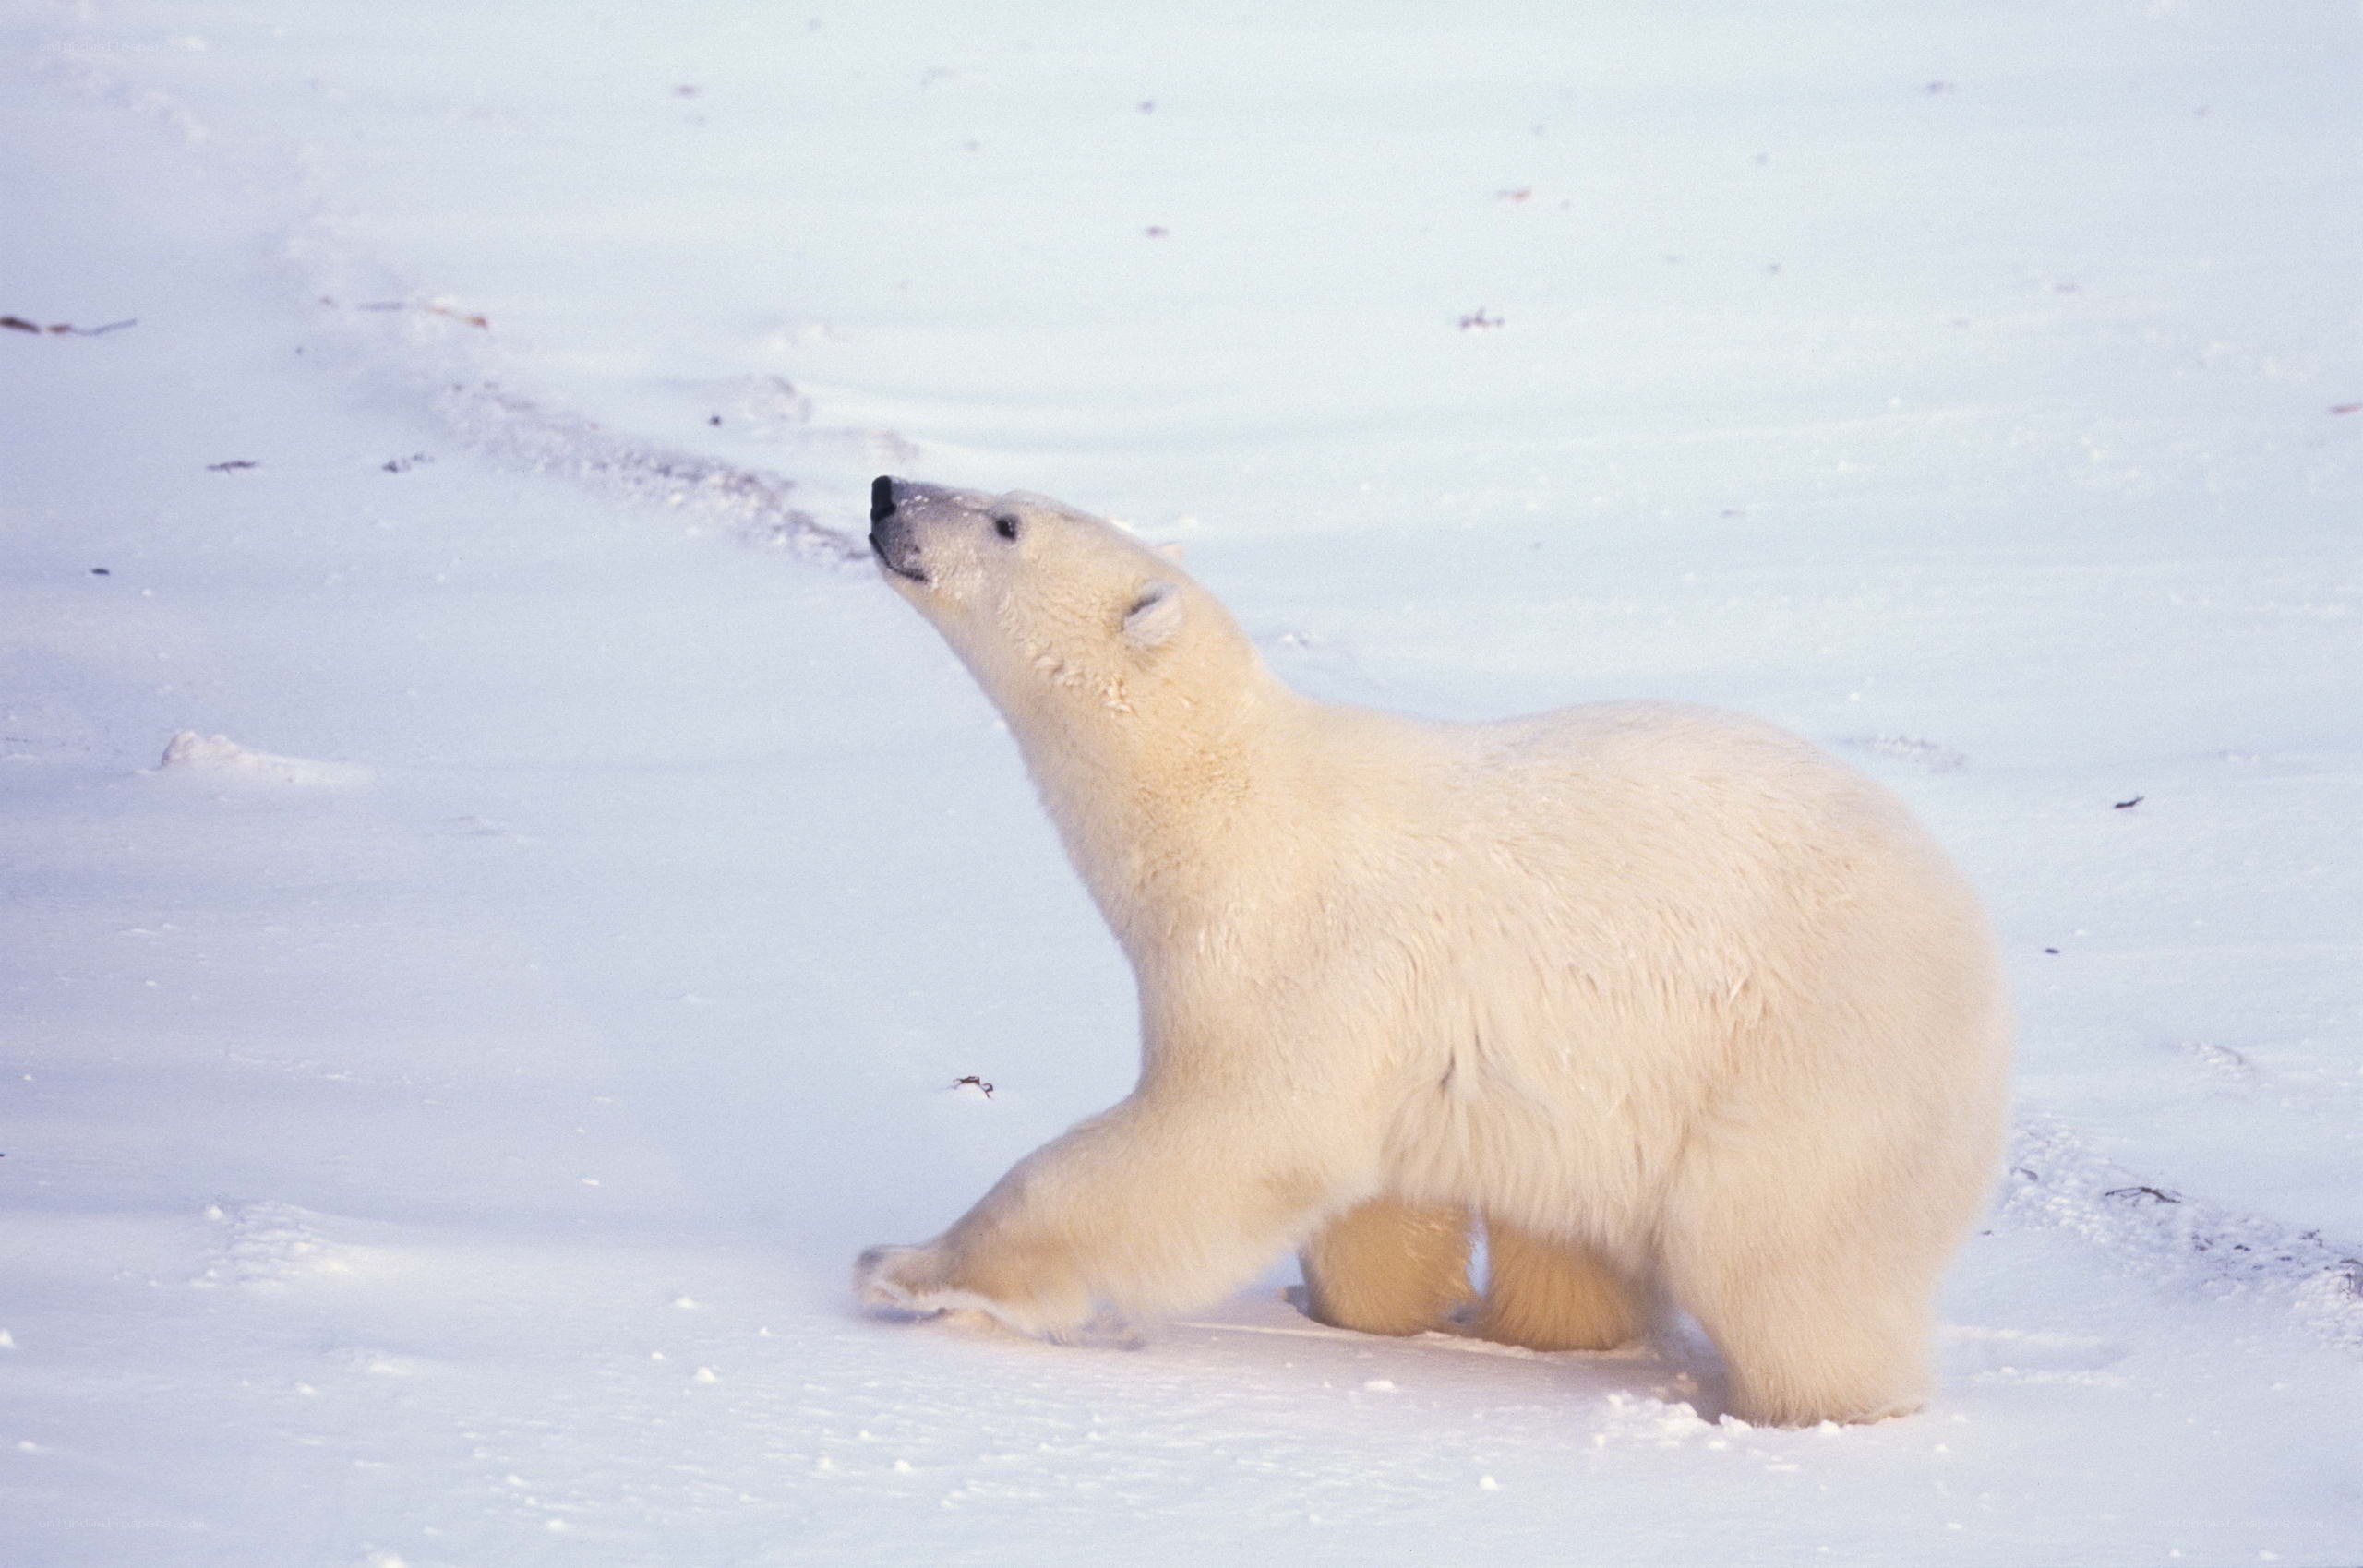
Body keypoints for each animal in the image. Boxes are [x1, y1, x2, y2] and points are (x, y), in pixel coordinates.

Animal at [854, 475, 2011, 1426]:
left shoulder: (1299, 955)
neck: (1225, 800)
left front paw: (902, 1265)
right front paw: (1350, 1307)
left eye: (1007, 521)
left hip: (1810, 1052)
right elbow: (1380, 1202)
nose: (885, 491)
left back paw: (1798, 1404)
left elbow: (1218, 1140)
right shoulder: (1391, 1029)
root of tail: (1971, 937)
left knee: (1782, 1257)